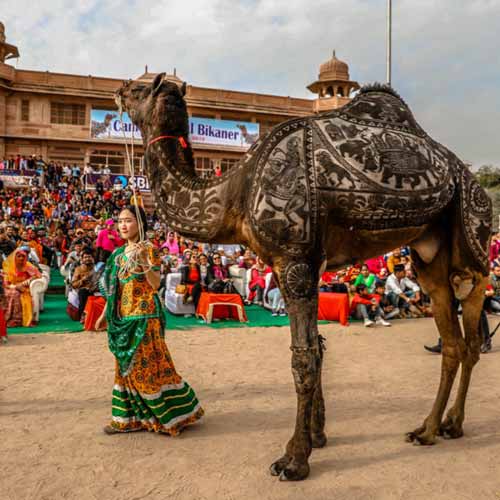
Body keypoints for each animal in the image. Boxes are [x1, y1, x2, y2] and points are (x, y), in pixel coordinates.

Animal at [114, 75, 492, 480]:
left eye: (138, 89)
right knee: (452, 342)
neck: (235, 191)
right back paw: (430, 428)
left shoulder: (294, 260)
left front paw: (294, 459)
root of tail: (470, 181)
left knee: (469, 333)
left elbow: (304, 357)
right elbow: (319, 348)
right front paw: (318, 435)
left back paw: (451, 424)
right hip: (429, 256)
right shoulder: (291, 268)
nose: (119, 89)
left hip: (473, 239)